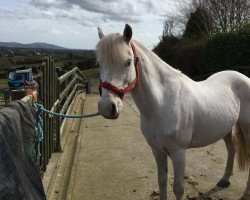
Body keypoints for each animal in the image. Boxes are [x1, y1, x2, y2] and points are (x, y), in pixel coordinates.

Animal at [95, 24, 250, 199]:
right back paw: (224, 180)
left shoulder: (178, 153)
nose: (107, 107)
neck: (162, 102)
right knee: (232, 149)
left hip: (246, 127)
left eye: (128, 62)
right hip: (226, 128)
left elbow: (178, 188)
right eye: (99, 64)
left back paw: (245, 193)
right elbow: (162, 181)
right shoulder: (157, 150)